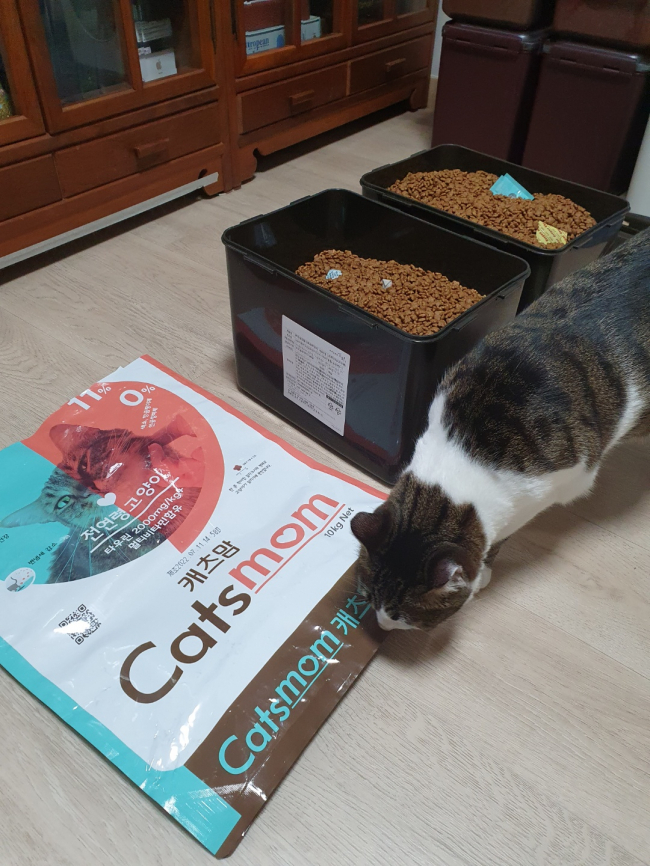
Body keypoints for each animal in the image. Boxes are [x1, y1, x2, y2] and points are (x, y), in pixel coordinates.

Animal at [351, 227, 650, 631]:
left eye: (406, 618)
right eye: (367, 596)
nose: (382, 625)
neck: (465, 451)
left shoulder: (556, 486)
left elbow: (501, 538)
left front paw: (485, 573)